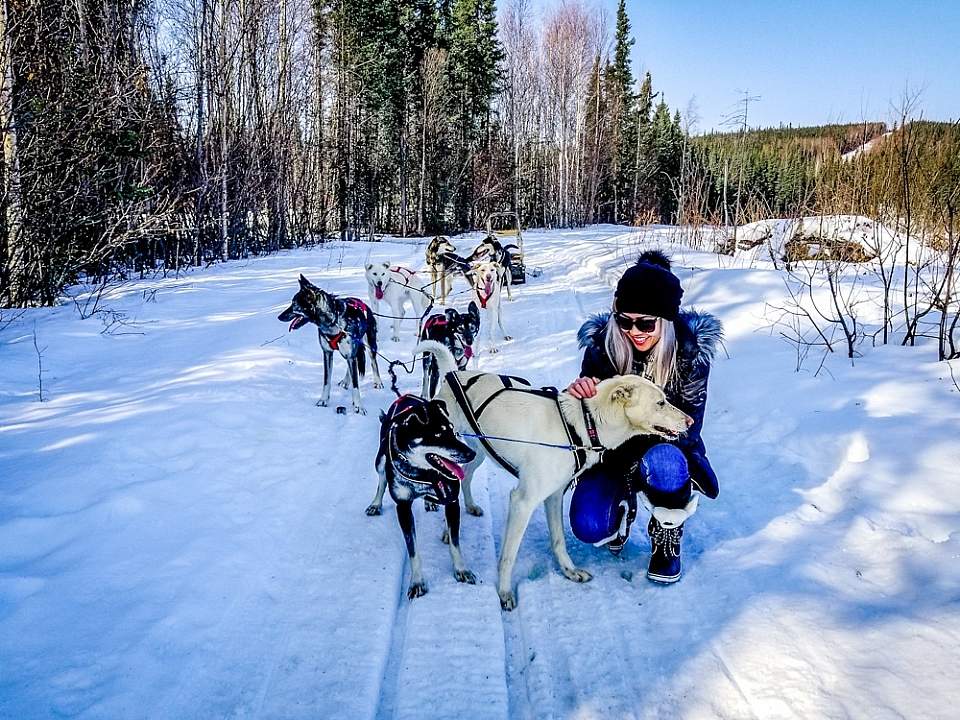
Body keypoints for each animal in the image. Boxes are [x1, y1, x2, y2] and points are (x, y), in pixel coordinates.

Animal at [278, 272, 382, 414]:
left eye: (294, 304)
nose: (279, 317)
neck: (333, 321)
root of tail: (363, 303)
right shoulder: (327, 353)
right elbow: (326, 381)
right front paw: (323, 400)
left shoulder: (349, 353)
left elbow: (356, 385)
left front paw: (358, 407)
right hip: (350, 352)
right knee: (351, 366)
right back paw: (345, 381)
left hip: (370, 344)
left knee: (373, 362)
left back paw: (378, 381)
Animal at [364, 390, 476, 600]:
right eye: (438, 434)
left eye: (452, 429)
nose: (471, 453)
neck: (423, 473)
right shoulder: (403, 507)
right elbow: (413, 550)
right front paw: (417, 581)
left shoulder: (451, 500)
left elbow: (455, 543)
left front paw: (461, 570)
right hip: (380, 460)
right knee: (381, 480)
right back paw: (375, 504)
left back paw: (429, 502)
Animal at [416, 340, 692, 612]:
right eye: (660, 402)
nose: (690, 421)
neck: (582, 424)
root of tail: (454, 374)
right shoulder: (522, 502)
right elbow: (508, 556)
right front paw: (504, 592)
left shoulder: (555, 495)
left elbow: (558, 540)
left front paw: (569, 571)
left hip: (477, 453)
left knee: (464, 478)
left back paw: (465, 511)